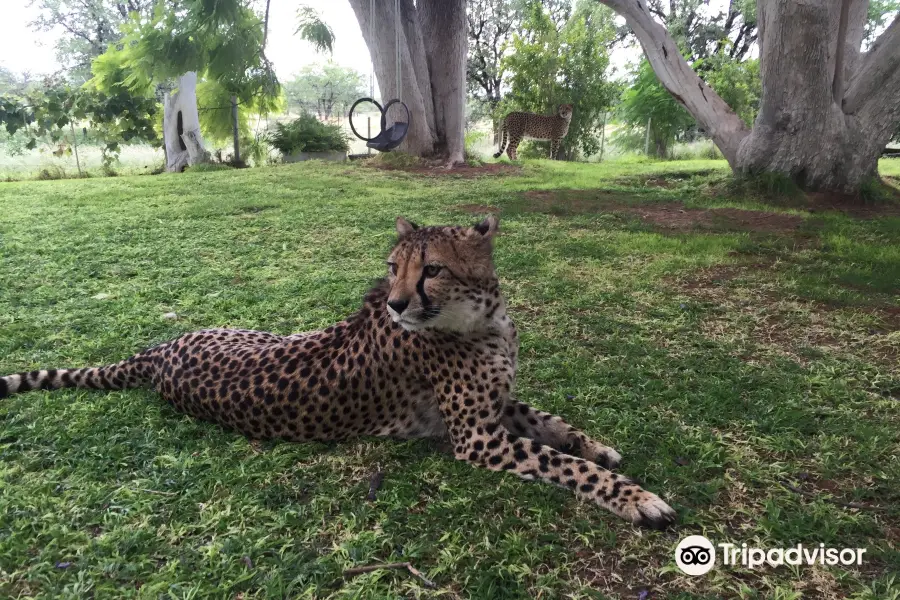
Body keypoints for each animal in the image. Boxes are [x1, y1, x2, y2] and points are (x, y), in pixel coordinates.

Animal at [0, 217, 676, 528]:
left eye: (432, 269)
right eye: (394, 267)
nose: (398, 303)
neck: (482, 320)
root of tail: (160, 352)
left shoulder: (496, 408)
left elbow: (554, 423)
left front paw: (600, 445)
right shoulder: (476, 438)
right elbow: (563, 464)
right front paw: (635, 497)